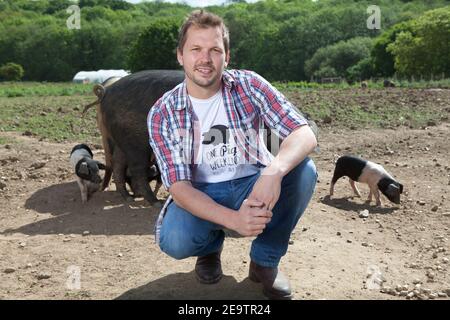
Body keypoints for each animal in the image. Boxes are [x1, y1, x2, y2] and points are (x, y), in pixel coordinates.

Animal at [100, 69, 185, 205]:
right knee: (136, 169)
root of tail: (106, 91)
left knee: (118, 164)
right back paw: (154, 202)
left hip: (123, 139)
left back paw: (128, 197)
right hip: (135, 142)